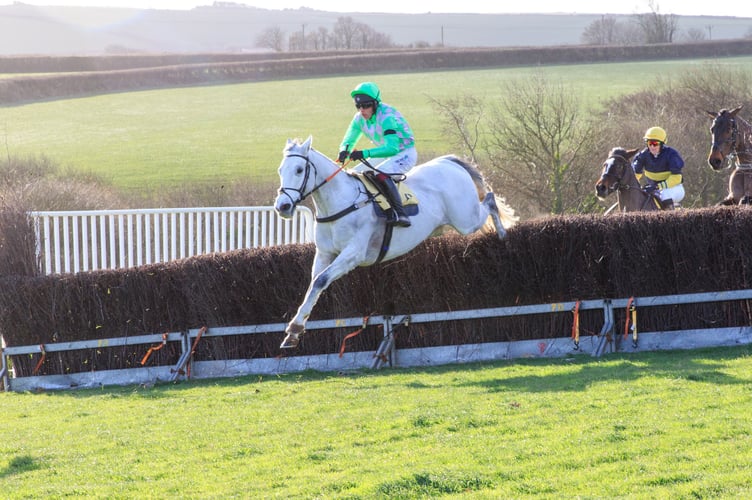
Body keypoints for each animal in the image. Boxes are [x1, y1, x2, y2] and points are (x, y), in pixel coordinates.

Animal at [274, 136, 516, 348]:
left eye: (299, 170)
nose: (282, 207)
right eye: (280, 170)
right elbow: (313, 284)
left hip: (466, 220)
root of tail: (448, 162)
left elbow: (321, 281)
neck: (341, 203)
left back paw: (503, 234)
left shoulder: (354, 254)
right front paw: (294, 332)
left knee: (490, 200)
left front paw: (294, 328)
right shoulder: (324, 253)